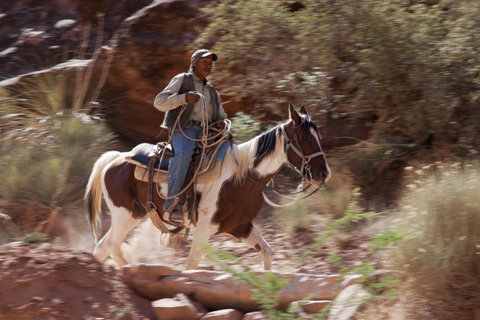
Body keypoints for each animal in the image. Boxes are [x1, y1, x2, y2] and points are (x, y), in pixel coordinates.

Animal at [85, 104, 330, 270]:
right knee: (112, 245)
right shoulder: (204, 227)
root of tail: (117, 158)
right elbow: (191, 263)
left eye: (319, 135)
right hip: (122, 213)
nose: (324, 174)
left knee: (104, 246)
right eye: (305, 137)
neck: (243, 178)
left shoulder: (240, 226)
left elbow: (267, 252)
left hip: (134, 214)